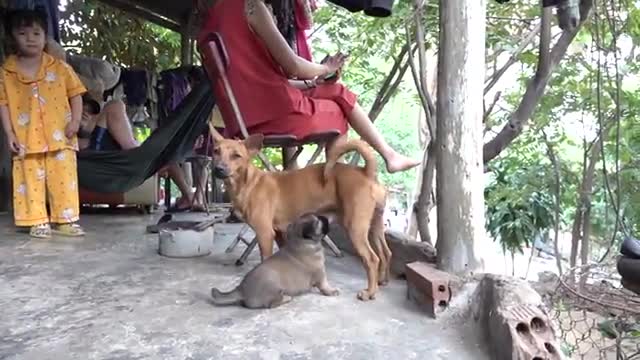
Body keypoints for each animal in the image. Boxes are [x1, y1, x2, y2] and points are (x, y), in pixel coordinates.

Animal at [210, 214, 340, 310]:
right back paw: (286, 298)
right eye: (319, 221)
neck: (301, 242)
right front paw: (331, 291)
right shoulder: (320, 273)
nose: (326, 217)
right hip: (273, 284)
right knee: (271, 304)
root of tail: (240, 289)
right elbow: (324, 284)